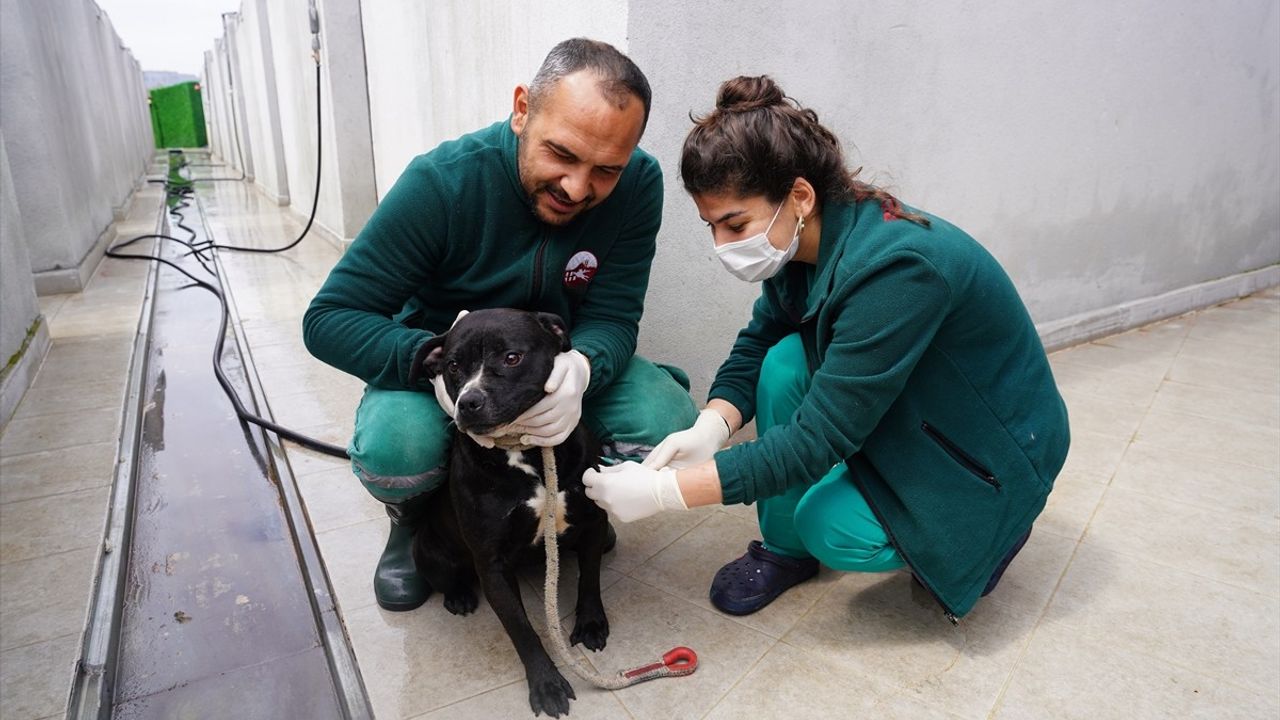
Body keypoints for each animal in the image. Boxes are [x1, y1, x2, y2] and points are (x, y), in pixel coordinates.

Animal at [412, 304, 606, 712]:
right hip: (429, 553)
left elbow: (590, 580)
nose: (468, 402)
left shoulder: (595, 522)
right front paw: (546, 683)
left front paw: (592, 624)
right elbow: (521, 627)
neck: (524, 450)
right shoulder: (492, 565)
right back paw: (459, 596)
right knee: (445, 579)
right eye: (453, 366)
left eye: (512, 357)